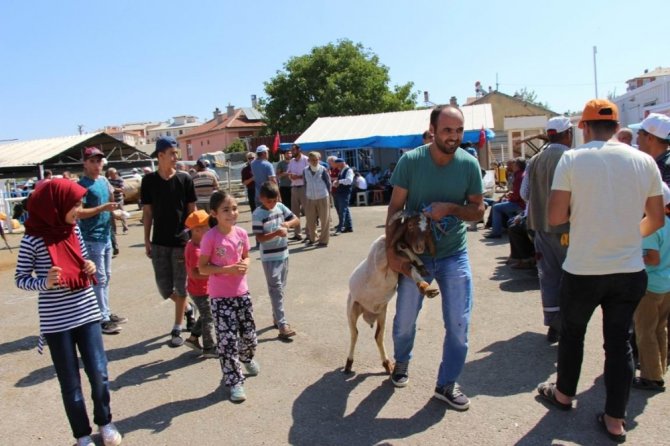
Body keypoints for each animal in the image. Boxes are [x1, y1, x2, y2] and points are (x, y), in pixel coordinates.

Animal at [346, 211, 440, 374]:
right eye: (410, 225)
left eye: (428, 228)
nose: (420, 247)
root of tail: (368, 314)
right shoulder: (384, 259)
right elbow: (402, 251)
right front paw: (421, 271)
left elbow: (411, 265)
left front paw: (424, 280)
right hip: (352, 310)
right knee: (354, 335)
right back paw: (349, 363)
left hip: (381, 314)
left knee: (378, 337)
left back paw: (387, 364)